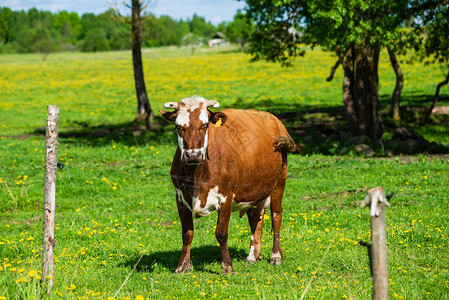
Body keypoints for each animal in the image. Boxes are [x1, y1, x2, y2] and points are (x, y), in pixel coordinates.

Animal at [159, 95, 300, 274]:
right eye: (178, 127)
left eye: (205, 125)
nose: (193, 155)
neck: (196, 177)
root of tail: (275, 120)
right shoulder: (180, 198)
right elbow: (187, 233)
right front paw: (182, 266)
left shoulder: (225, 197)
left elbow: (221, 233)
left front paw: (227, 266)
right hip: (254, 190)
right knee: (256, 219)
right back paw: (253, 256)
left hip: (279, 182)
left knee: (276, 217)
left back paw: (276, 257)